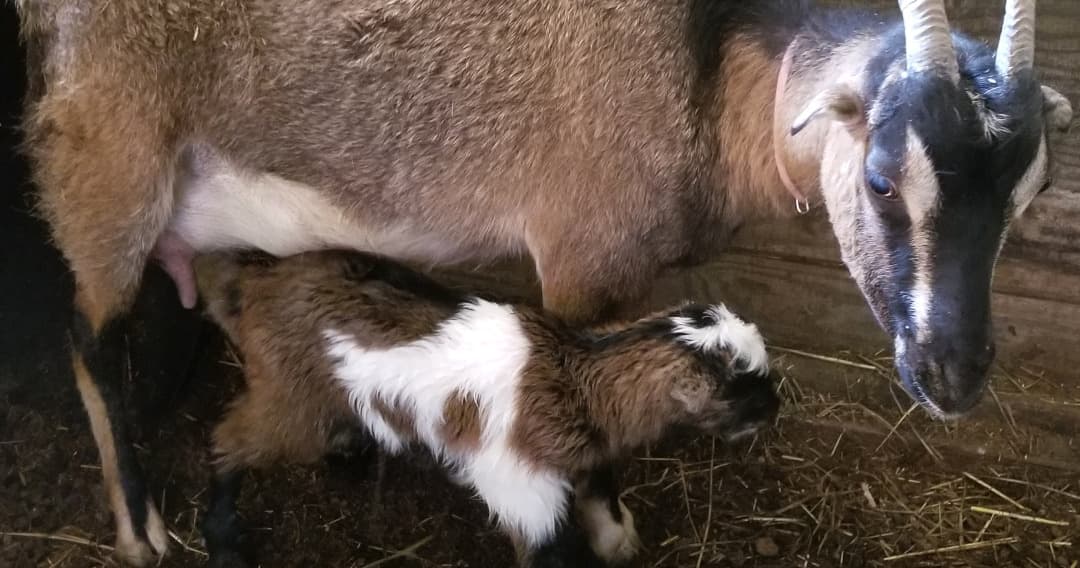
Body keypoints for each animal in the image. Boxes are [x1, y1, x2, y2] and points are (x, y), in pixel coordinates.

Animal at [192, 249, 781, 567]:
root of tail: (256, 281)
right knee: (228, 441)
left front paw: (616, 538)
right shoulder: (525, 492)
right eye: (742, 384)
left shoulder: (582, 456)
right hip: (288, 403)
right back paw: (224, 542)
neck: (574, 377)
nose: (774, 409)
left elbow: (601, 489)